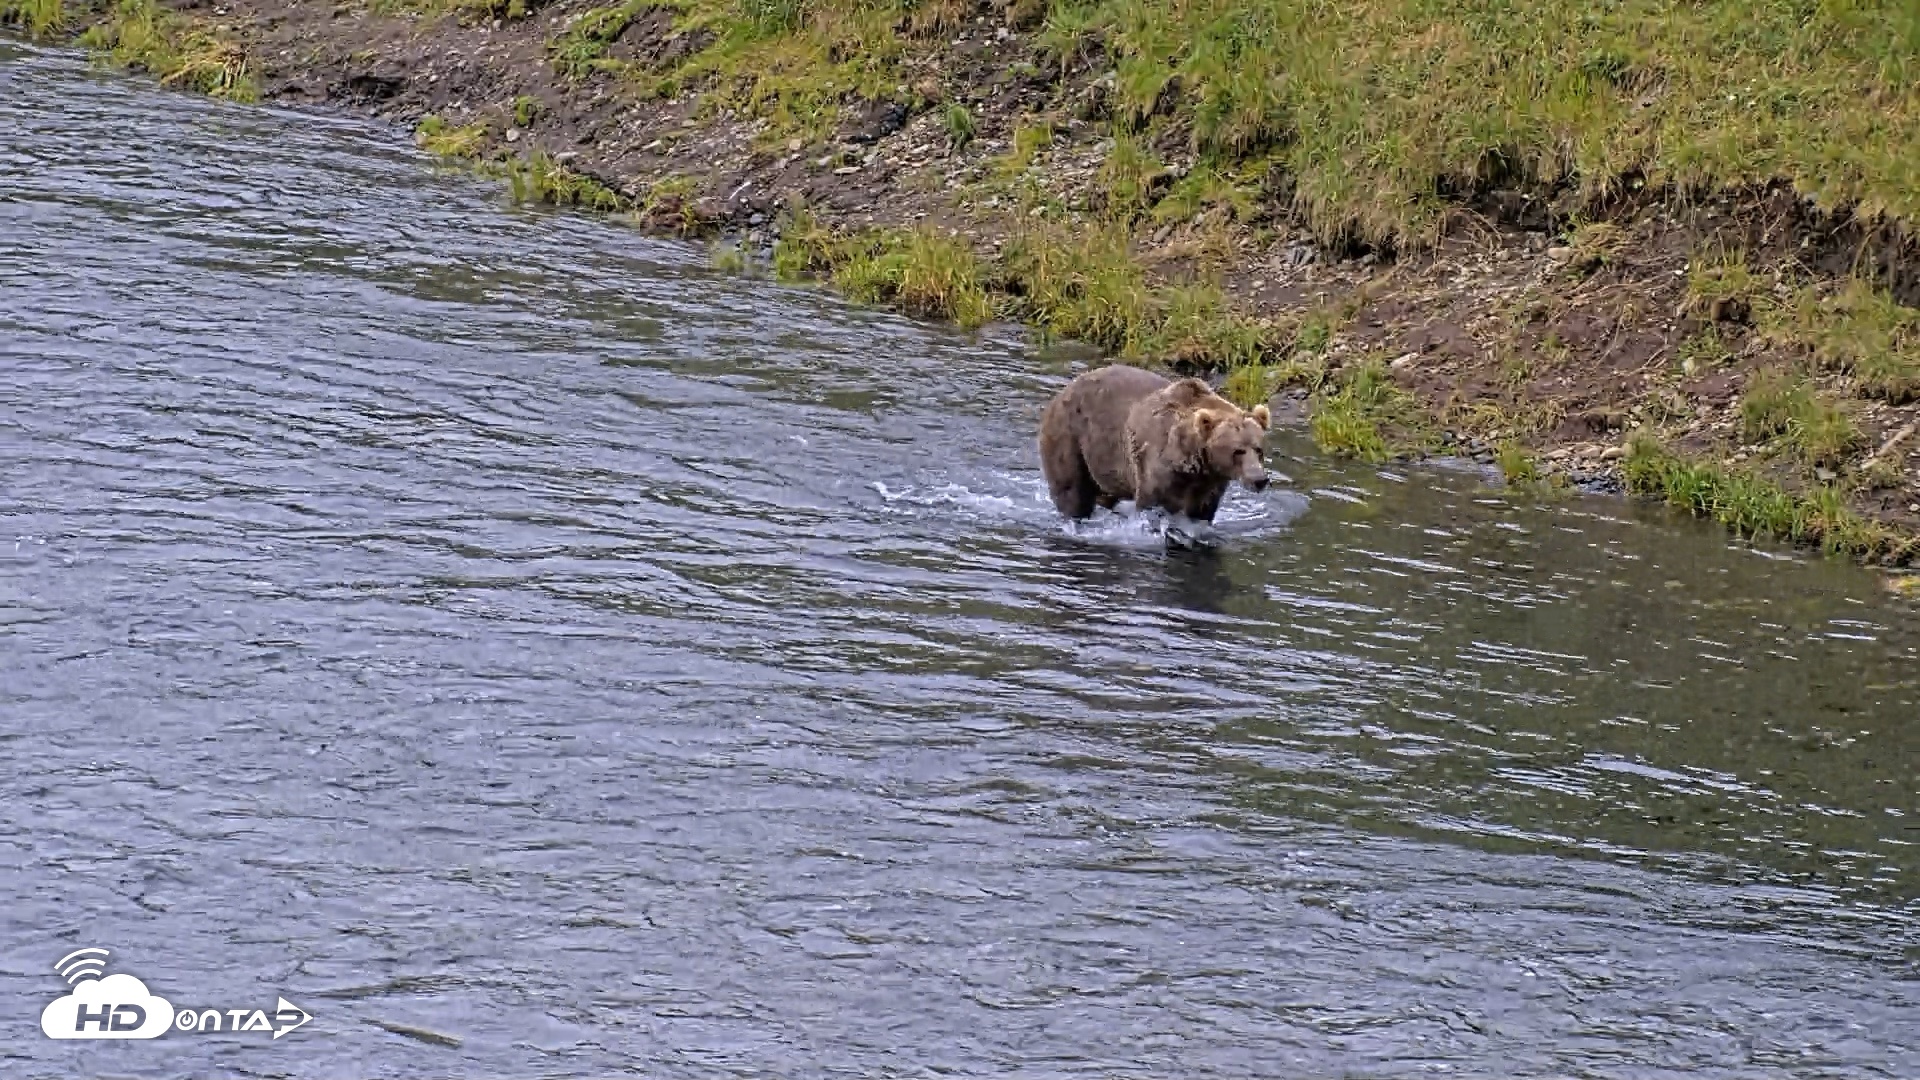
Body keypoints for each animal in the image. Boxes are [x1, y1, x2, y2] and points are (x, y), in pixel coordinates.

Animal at [1037, 363, 1274, 524]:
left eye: (1258, 449)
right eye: (1238, 451)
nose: (1259, 479)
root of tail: (1063, 391)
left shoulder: (1208, 484)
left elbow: (1202, 512)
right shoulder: (1155, 465)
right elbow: (1151, 506)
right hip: (1070, 436)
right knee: (1071, 489)